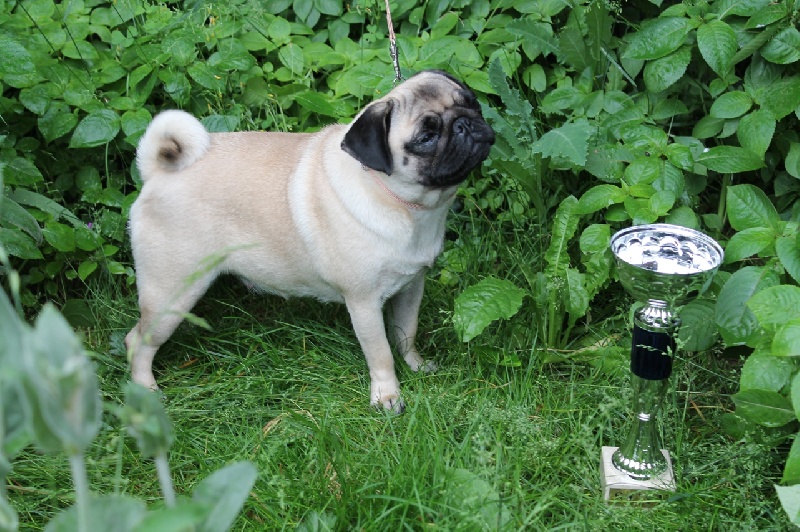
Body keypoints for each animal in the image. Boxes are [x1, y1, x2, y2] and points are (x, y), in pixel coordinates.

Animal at [125, 70, 495, 412]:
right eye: (426, 137)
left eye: (472, 103)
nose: (465, 124)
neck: (404, 205)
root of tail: (157, 172)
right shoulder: (363, 302)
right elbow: (381, 355)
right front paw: (387, 397)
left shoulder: (411, 286)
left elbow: (406, 333)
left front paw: (416, 366)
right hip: (172, 292)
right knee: (137, 340)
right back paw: (147, 391)